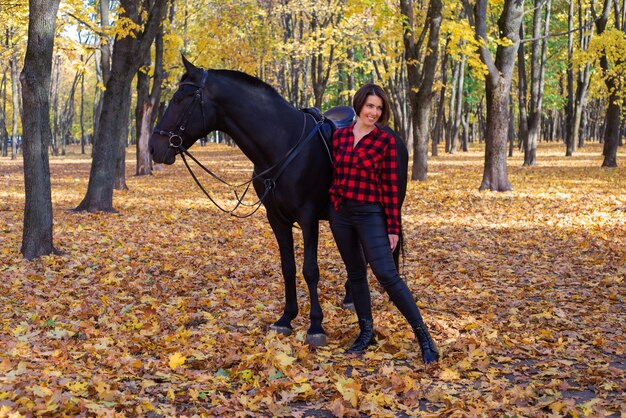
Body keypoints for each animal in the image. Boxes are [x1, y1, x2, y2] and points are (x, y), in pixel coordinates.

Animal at [149, 57, 408, 348]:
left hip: (389, 207)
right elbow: (288, 267)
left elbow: (310, 270)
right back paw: (350, 297)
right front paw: (286, 318)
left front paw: (315, 325)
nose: (153, 146)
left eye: (180, 98)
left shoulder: (308, 217)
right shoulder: (276, 218)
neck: (282, 144)